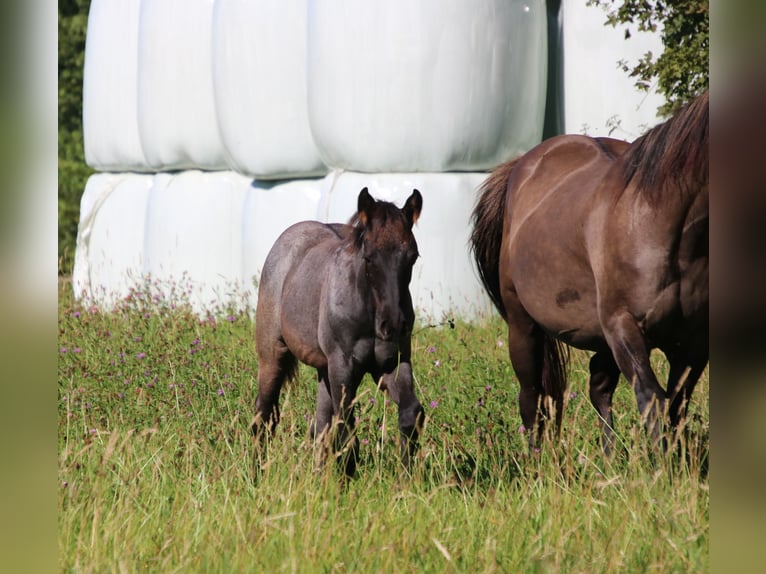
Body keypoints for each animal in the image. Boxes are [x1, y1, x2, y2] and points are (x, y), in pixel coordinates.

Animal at [252, 187, 425, 476]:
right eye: (369, 257)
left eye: (412, 256)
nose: (393, 325)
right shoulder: (343, 365)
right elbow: (346, 433)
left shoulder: (392, 363)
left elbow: (411, 414)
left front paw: (407, 478)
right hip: (273, 356)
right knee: (263, 417)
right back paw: (256, 475)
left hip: (324, 369)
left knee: (320, 425)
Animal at [470, 91, 709, 454]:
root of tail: (520, 166)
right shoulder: (624, 327)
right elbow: (652, 399)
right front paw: (663, 466)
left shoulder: (693, 343)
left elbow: (677, 406)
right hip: (523, 325)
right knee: (531, 395)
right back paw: (536, 459)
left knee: (598, 386)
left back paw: (607, 457)